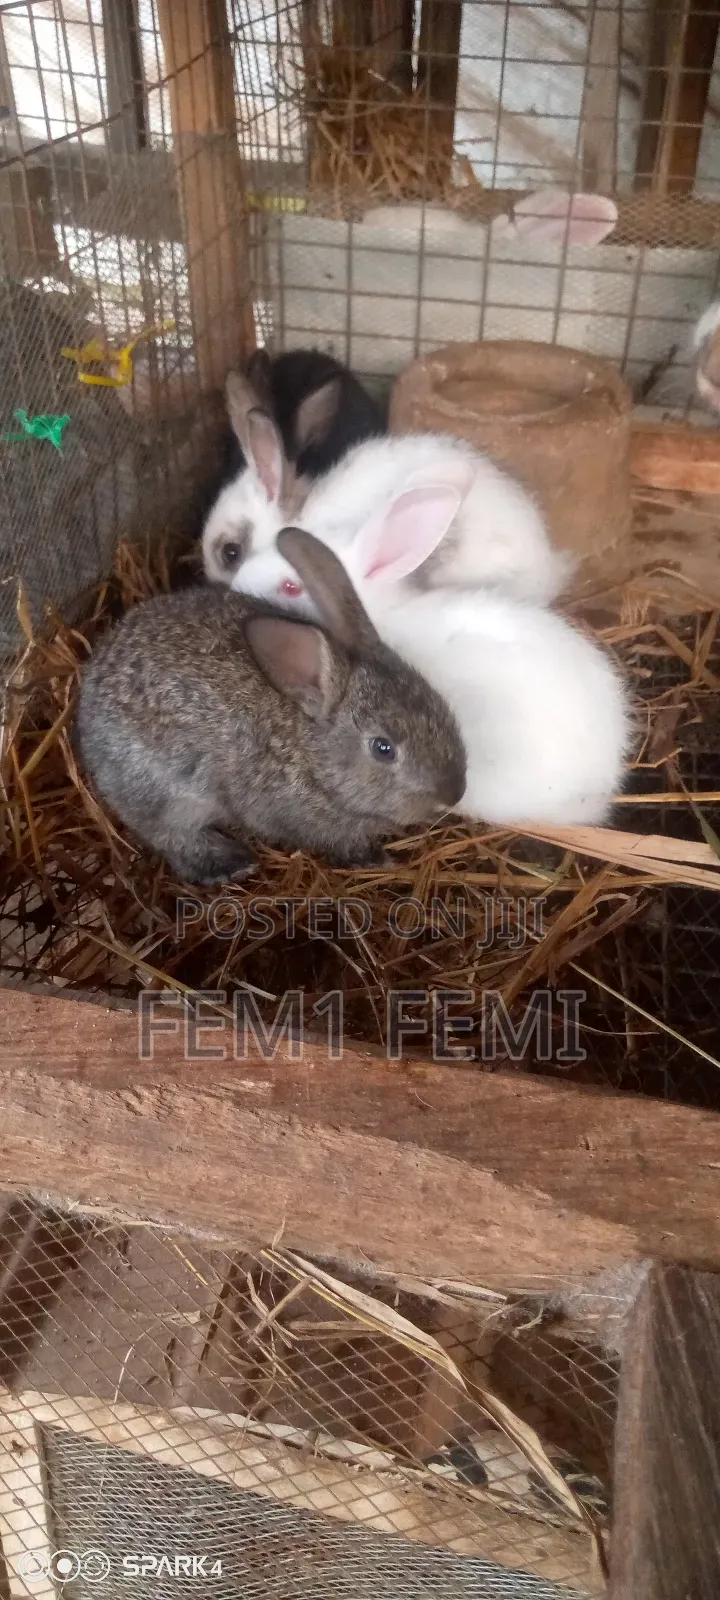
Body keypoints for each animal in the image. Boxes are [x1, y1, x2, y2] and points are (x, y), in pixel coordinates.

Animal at [76, 528, 467, 886]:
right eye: (383, 748)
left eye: (439, 704)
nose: (454, 793)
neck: (311, 755)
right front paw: (374, 858)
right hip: (166, 792)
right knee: (168, 835)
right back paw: (228, 864)